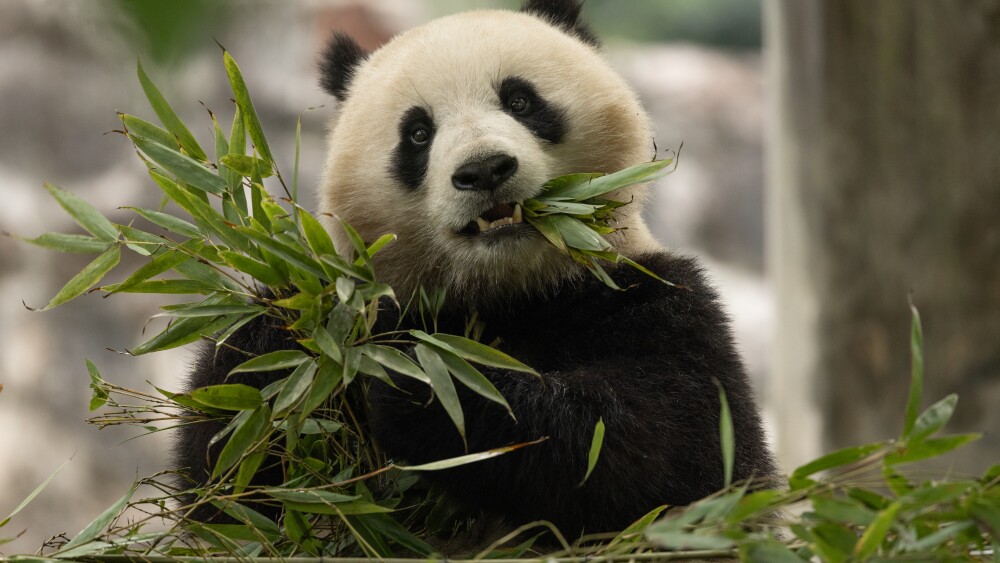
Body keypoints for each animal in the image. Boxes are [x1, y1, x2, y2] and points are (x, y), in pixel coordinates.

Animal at [176, 0, 776, 540]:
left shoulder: (654, 297)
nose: (484, 170)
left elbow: (676, 454)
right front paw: (284, 341)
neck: (506, 290)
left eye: (520, 100)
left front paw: (421, 384)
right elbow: (229, 487)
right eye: (418, 133)